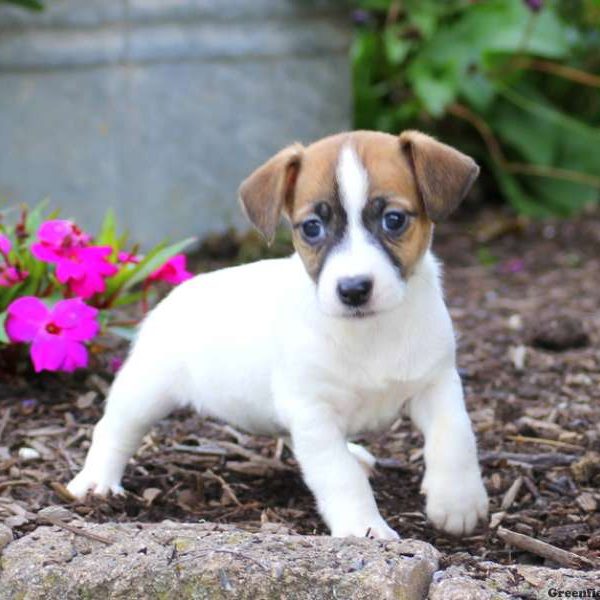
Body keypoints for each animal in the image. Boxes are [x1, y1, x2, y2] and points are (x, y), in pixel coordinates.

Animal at [67, 130, 488, 540]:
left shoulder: (436, 383)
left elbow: (456, 435)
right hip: (145, 390)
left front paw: (457, 502)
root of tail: (178, 293)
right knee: (113, 429)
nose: (353, 289)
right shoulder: (313, 412)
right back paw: (95, 482)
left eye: (394, 220)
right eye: (312, 227)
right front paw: (362, 527)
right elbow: (340, 476)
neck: (370, 331)